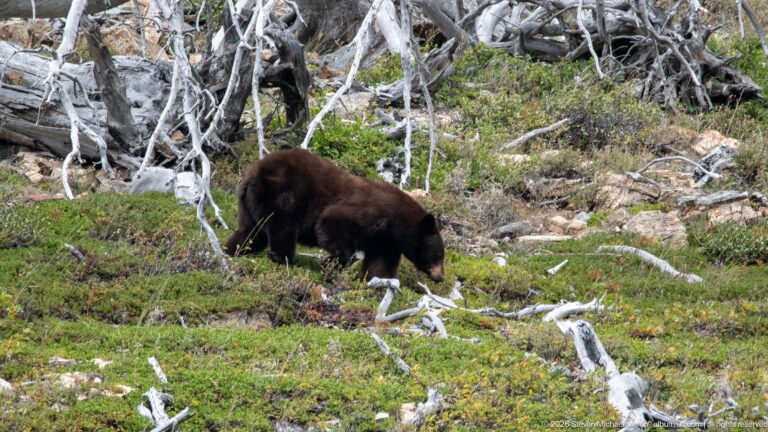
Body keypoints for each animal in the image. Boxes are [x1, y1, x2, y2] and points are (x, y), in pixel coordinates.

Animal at [224, 148, 445, 282]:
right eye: (439, 255)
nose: (440, 276)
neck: (397, 224)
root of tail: (251, 175)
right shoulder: (369, 214)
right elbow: (332, 221)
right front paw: (330, 264)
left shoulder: (385, 241)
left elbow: (381, 262)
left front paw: (378, 281)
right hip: (281, 196)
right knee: (282, 228)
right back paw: (283, 258)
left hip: (249, 205)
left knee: (251, 232)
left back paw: (232, 250)